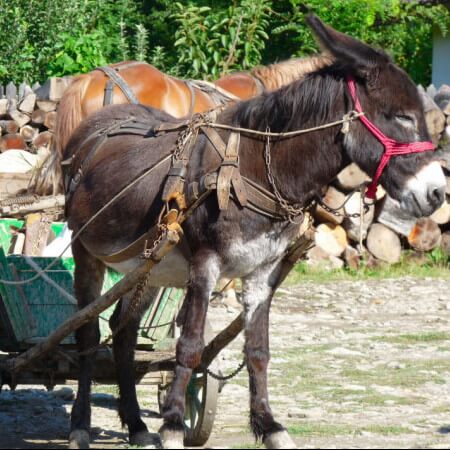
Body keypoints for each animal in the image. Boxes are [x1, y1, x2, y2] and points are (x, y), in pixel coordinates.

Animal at [64, 14, 446, 450]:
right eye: (402, 117)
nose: (438, 193)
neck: (255, 169)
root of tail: (93, 126)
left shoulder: (262, 272)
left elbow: (258, 351)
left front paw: (270, 425)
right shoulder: (204, 266)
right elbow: (189, 346)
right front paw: (175, 425)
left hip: (147, 267)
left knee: (123, 333)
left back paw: (137, 425)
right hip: (86, 253)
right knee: (88, 334)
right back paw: (81, 424)